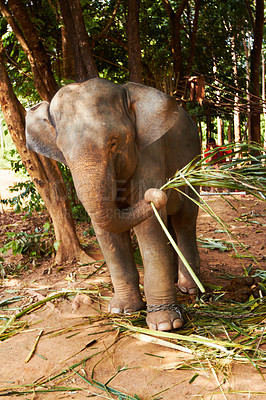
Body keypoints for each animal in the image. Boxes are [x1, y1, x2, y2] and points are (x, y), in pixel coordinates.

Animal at [26, 77, 201, 332]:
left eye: (114, 142)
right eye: (63, 152)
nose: (158, 194)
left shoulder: (149, 153)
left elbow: (149, 227)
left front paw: (165, 325)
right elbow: (105, 229)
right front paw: (123, 310)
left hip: (194, 162)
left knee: (185, 220)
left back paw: (190, 288)